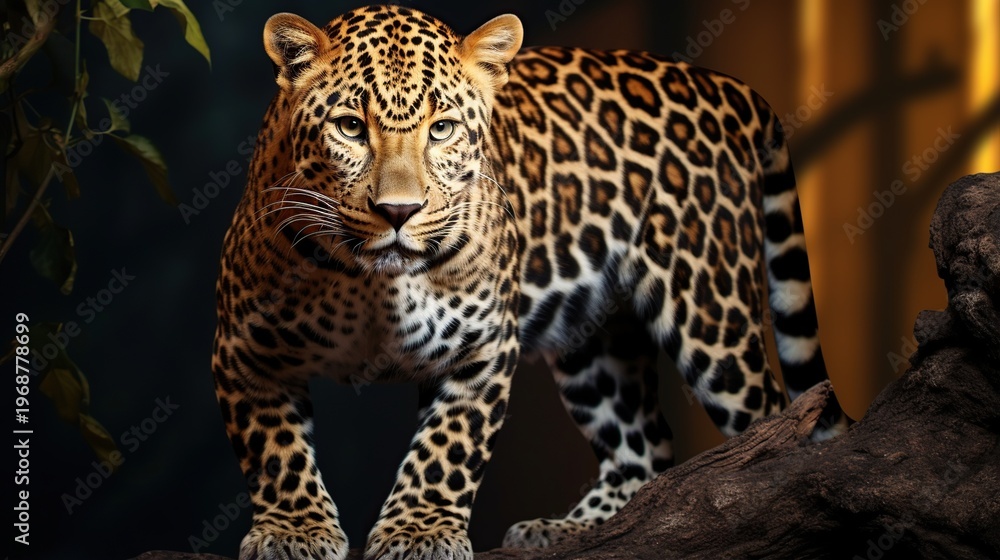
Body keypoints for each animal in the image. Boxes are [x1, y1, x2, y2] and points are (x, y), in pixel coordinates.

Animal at [211, 5, 850, 559]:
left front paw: (418, 533)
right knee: (644, 445)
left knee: (771, 420)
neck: (373, 284)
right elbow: (275, 450)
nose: (399, 211)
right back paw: (572, 530)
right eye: (349, 127)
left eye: (441, 129)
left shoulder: (483, 346)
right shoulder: (245, 350)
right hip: (595, 338)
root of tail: (729, 86)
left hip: (711, 314)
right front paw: (293, 531)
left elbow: (447, 448)